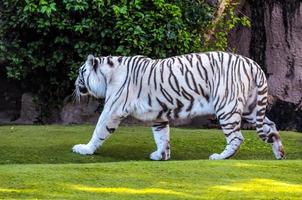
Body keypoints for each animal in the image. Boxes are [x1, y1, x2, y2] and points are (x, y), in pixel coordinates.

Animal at [72, 52, 284, 161]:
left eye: (80, 73)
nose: (74, 84)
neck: (107, 75)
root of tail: (253, 63)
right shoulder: (157, 114)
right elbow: (161, 136)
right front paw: (161, 155)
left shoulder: (113, 109)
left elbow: (99, 130)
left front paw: (85, 149)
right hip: (251, 108)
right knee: (271, 126)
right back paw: (279, 153)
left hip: (227, 108)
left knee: (237, 137)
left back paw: (220, 156)